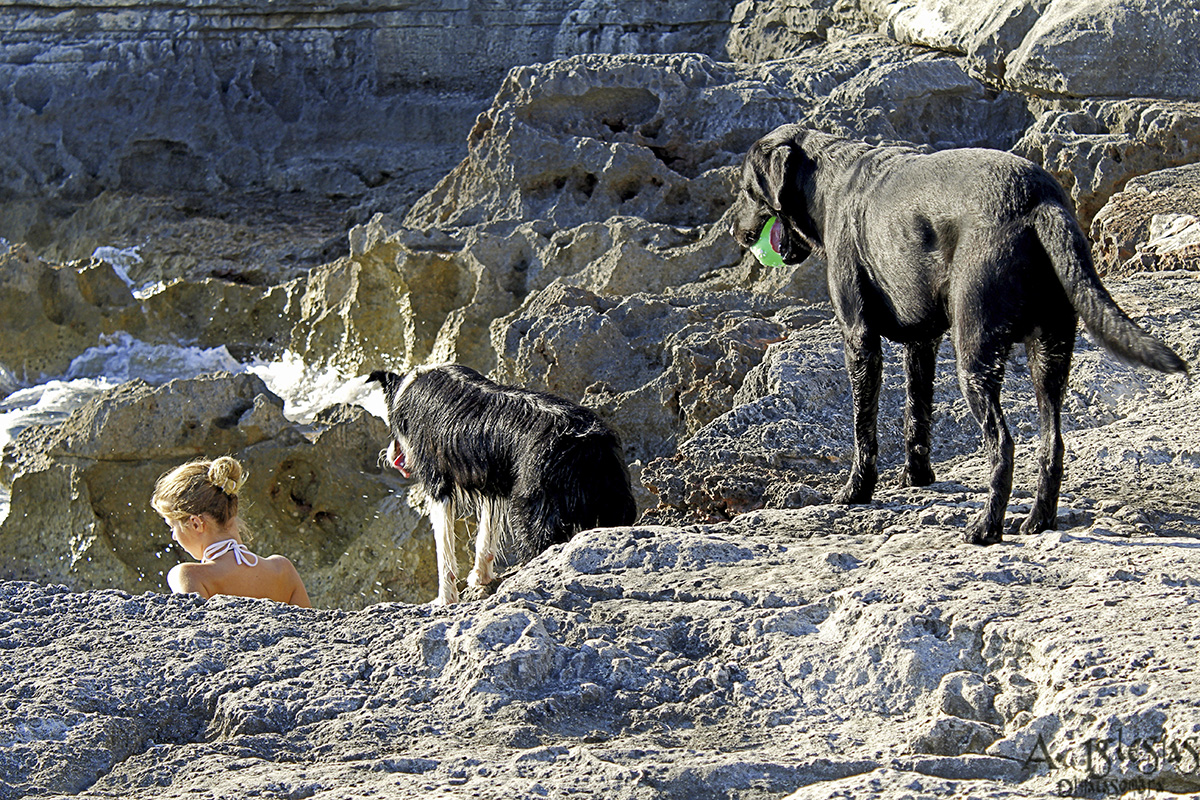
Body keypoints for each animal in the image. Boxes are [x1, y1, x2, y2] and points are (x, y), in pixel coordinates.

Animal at [724, 126, 1185, 544]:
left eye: (747, 189)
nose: (733, 231)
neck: (830, 182)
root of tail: (1042, 202)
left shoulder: (859, 338)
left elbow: (863, 426)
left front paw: (857, 490)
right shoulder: (922, 343)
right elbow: (917, 414)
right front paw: (917, 476)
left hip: (975, 356)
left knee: (1003, 446)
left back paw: (986, 527)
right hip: (1050, 354)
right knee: (1052, 444)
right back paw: (1039, 520)